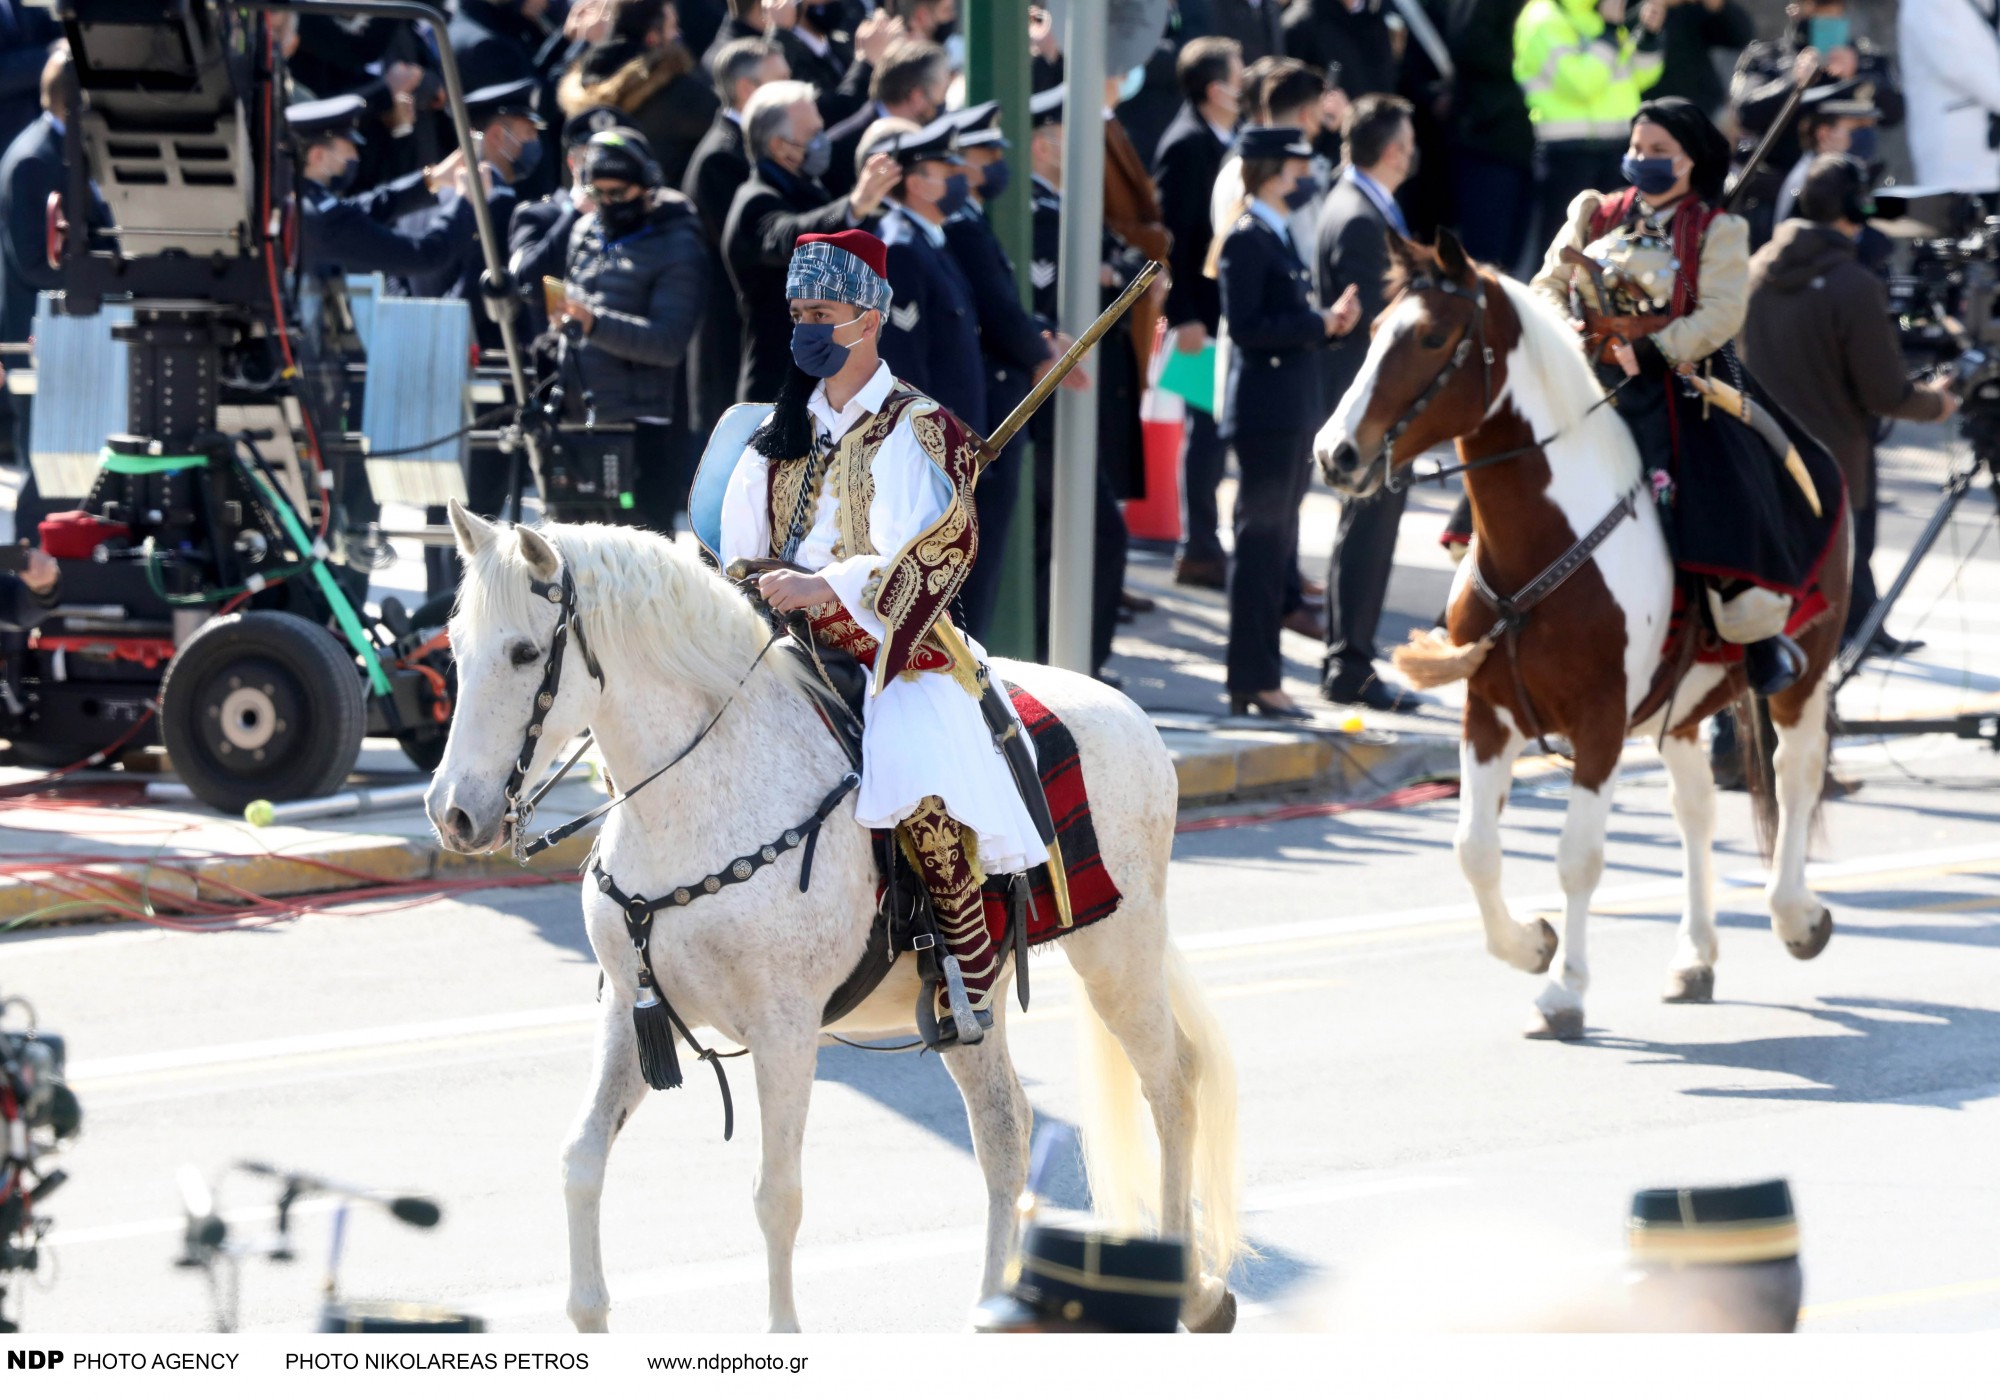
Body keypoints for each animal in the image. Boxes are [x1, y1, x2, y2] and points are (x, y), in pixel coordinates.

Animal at [430, 506, 1240, 1336]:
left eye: (525, 652)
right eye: (456, 645)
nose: (452, 813)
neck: (697, 795)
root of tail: (1132, 714)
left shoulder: (784, 1029)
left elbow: (776, 1196)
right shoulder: (634, 1009)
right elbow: (582, 1158)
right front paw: (589, 1311)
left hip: (1118, 951)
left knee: (1170, 1084)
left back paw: (1189, 1288)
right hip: (972, 997)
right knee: (1006, 1130)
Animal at [1320, 230, 1848, 1040]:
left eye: (1433, 337)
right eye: (1374, 329)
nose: (1336, 454)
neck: (1547, 538)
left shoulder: (1599, 725)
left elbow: (1578, 858)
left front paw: (1563, 991)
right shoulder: (1488, 713)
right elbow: (1473, 848)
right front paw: (1532, 944)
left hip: (1809, 670)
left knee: (1796, 773)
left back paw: (1795, 916)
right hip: (1678, 709)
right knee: (1695, 808)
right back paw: (1695, 955)